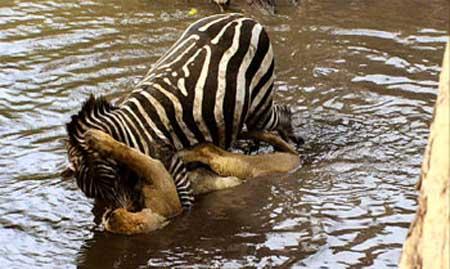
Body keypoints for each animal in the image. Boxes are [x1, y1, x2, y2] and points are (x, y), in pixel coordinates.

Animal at [64, 13, 302, 211]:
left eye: (109, 181)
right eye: (94, 194)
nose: (120, 213)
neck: (131, 134)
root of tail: (244, 18)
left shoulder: (173, 166)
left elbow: (184, 207)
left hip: (259, 103)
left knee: (280, 114)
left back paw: (291, 137)